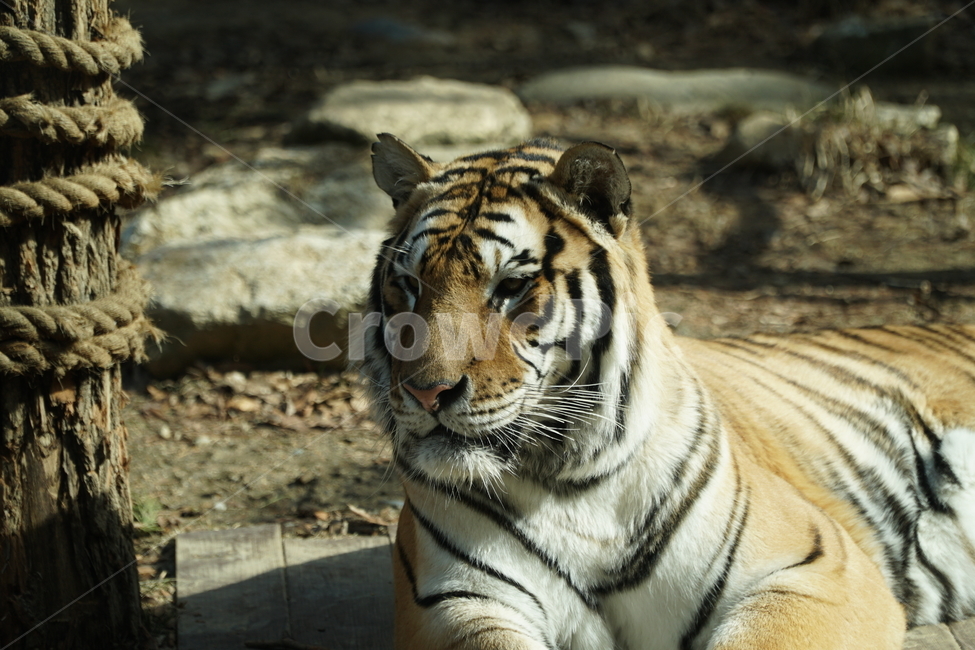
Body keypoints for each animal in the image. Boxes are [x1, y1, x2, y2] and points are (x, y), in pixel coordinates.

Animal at [360, 132, 975, 650]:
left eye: (511, 285)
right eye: (409, 284)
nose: (425, 393)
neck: (568, 480)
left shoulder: (815, 567)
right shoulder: (455, 602)